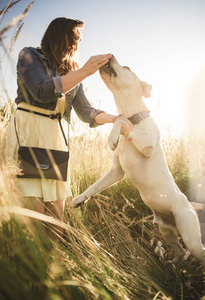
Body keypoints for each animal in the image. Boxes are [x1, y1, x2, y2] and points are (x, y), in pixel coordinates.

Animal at [70, 56, 205, 268]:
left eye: (127, 67)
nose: (110, 55)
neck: (136, 117)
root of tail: (191, 206)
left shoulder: (147, 146)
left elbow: (123, 123)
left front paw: (113, 137)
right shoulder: (116, 171)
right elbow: (95, 186)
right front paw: (79, 199)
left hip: (190, 237)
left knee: (196, 251)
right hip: (167, 232)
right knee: (179, 251)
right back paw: (171, 264)